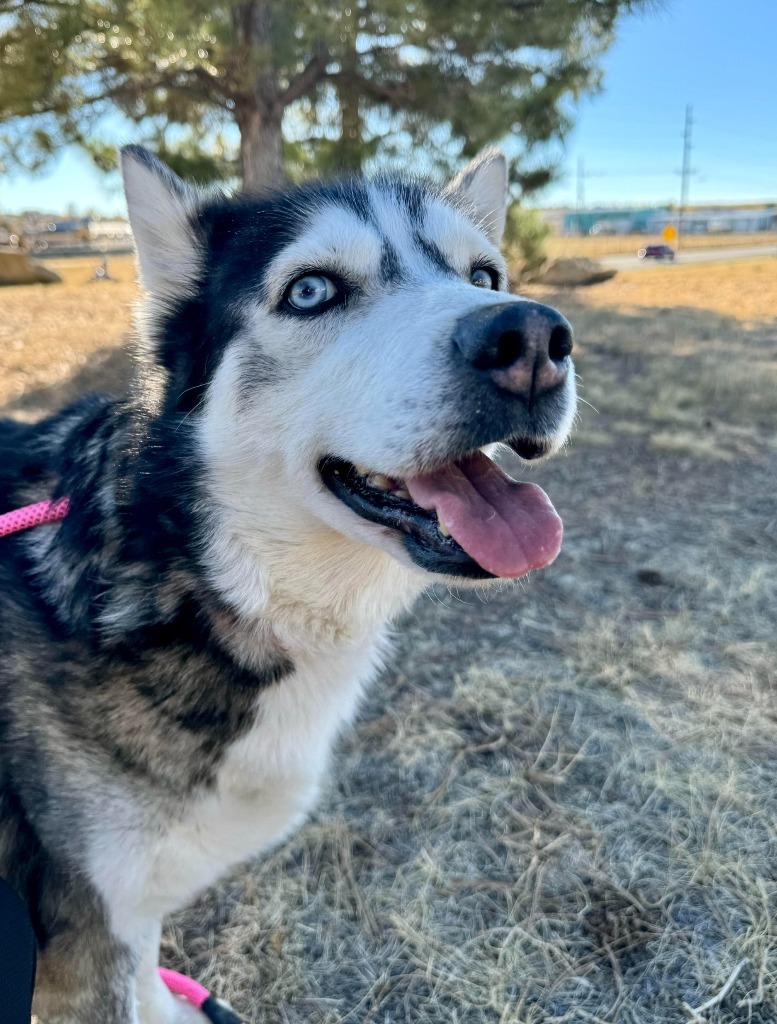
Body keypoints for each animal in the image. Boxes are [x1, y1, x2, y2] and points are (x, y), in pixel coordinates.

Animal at [1, 146, 577, 1024]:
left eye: (483, 276)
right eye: (310, 291)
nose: (533, 337)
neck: (195, 580)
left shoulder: (129, 920)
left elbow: (149, 979)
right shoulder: (89, 940)